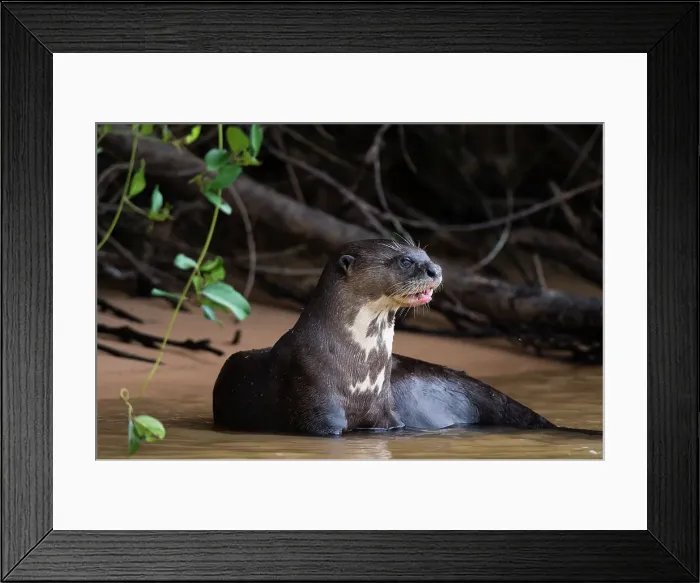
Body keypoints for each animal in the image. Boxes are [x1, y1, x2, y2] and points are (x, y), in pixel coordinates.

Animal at [213, 239, 600, 437]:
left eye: (426, 256)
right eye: (403, 261)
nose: (435, 269)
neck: (359, 369)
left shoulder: (386, 416)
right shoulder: (316, 406)